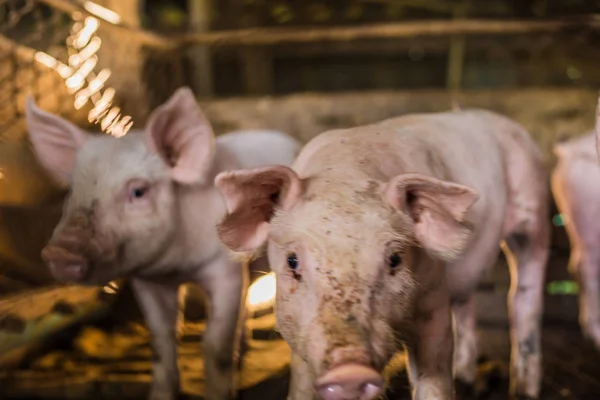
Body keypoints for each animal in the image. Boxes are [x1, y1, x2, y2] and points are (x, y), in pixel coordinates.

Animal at [25, 87, 302, 400]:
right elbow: (161, 341)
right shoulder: (146, 279)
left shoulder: (223, 266)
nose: (60, 251)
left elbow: (214, 342)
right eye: (72, 191)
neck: (177, 267)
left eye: (138, 191)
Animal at [213, 109, 552, 400]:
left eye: (395, 259)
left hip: (534, 209)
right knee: (468, 302)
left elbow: (435, 373)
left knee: (524, 297)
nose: (350, 370)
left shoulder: (434, 298)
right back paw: (467, 378)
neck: (345, 175)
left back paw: (524, 390)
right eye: (292, 260)